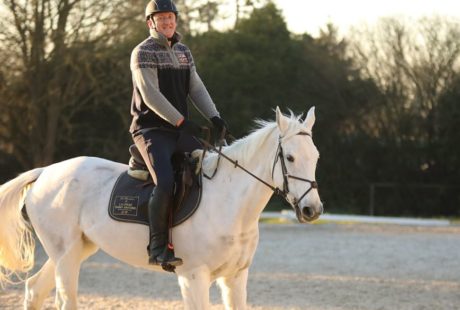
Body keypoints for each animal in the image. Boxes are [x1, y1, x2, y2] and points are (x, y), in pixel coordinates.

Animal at [0, 106, 324, 308]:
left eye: (316, 156)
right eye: (290, 158)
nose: (313, 210)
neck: (229, 203)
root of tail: (46, 171)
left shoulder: (235, 277)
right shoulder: (194, 277)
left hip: (75, 250)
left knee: (34, 290)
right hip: (65, 255)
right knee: (65, 299)